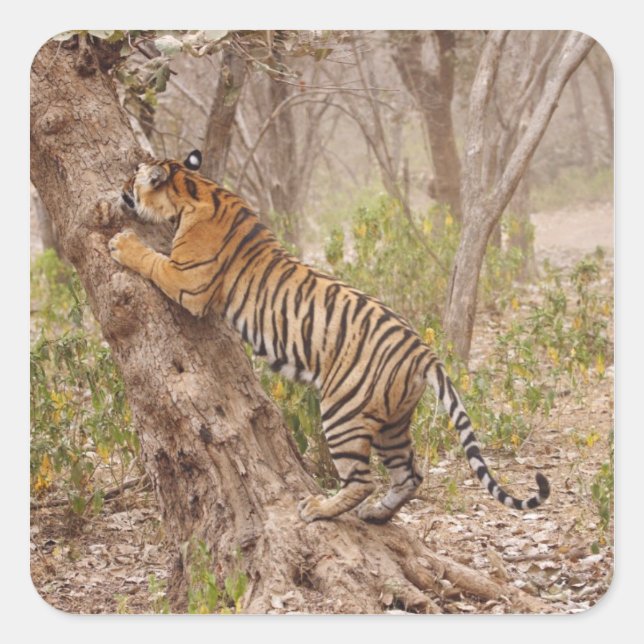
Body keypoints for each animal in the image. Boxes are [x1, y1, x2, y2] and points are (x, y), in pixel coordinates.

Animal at [109, 150, 550, 524]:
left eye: (134, 176)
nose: (120, 188)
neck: (196, 187)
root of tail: (423, 352)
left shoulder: (187, 282)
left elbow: (151, 260)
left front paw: (122, 243)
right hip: (393, 422)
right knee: (409, 474)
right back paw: (377, 514)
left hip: (343, 412)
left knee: (362, 479)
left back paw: (320, 509)